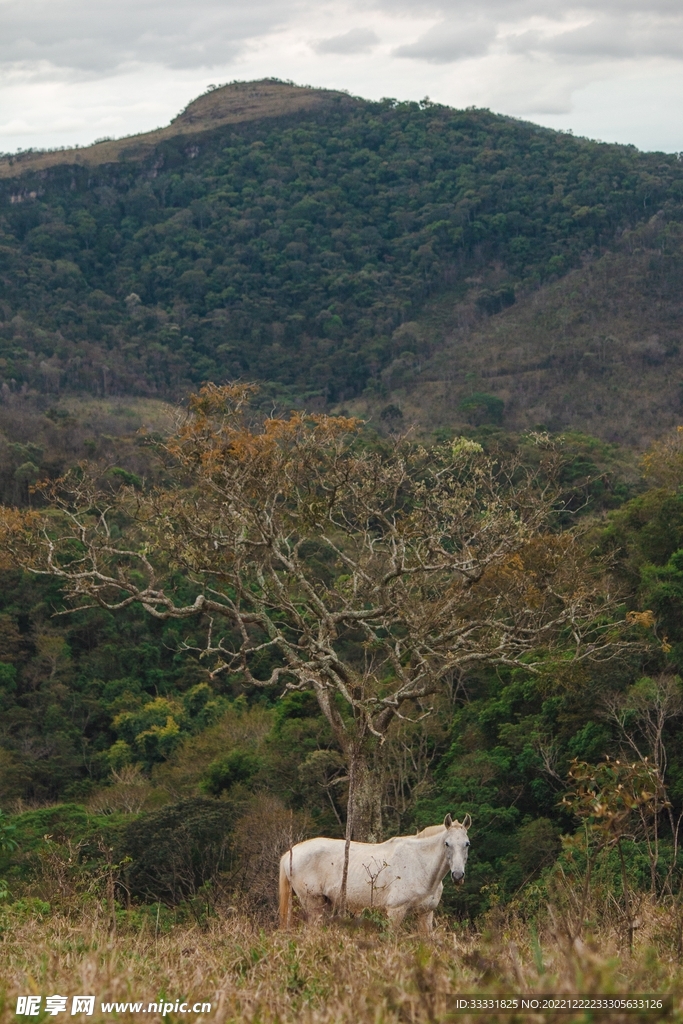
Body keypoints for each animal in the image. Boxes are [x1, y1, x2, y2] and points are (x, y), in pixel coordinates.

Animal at [279, 813, 471, 934]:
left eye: (467, 843)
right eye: (447, 843)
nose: (458, 876)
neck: (420, 864)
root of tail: (290, 853)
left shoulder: (425, 914)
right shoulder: (395, 912)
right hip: (313, 904)